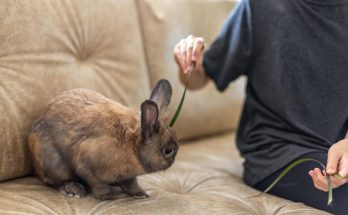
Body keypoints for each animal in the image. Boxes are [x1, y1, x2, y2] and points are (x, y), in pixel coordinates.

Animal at [27, 80, 178, 201]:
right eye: (168, 150)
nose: (174, 160)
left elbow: (131, 184)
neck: (132, 144)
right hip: (52, 162)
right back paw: (74, 190)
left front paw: (140, 194)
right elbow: (96, 182)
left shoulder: (128, 177)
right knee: (57, 181)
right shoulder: (84, 161)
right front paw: (106, 196)